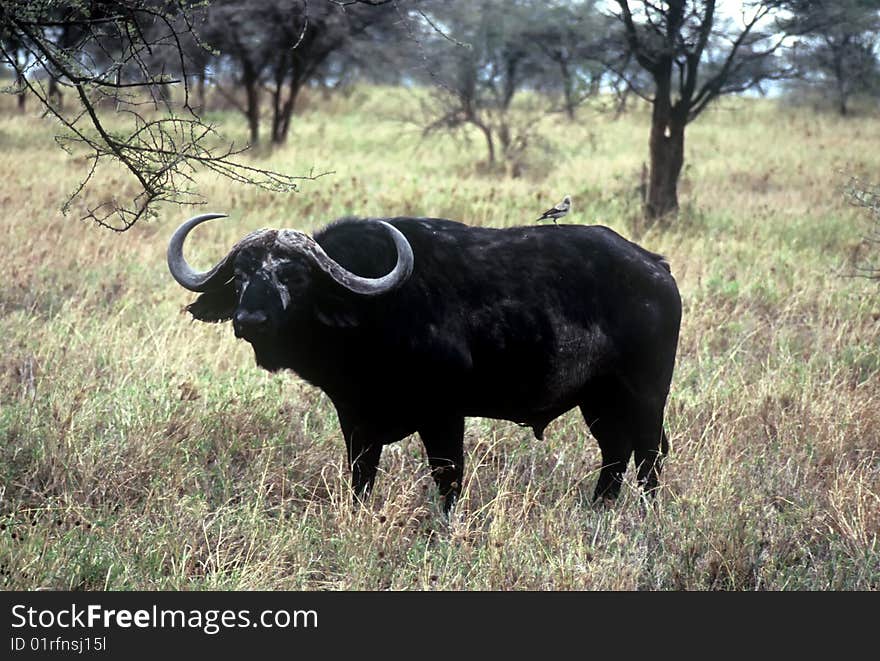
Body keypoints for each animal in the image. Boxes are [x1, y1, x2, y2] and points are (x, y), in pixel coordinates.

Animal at [168, 214, 684, 508]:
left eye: (293, 276)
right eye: (240, 276)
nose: (250, 319)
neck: (374, 312)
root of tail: (656, 266)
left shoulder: (443, 416)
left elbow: (447, 477)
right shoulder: (356, 420)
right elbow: (360, 477)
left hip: (643, 396)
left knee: (649, 454)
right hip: (597, 401)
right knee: (616, 452)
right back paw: (599, 508)